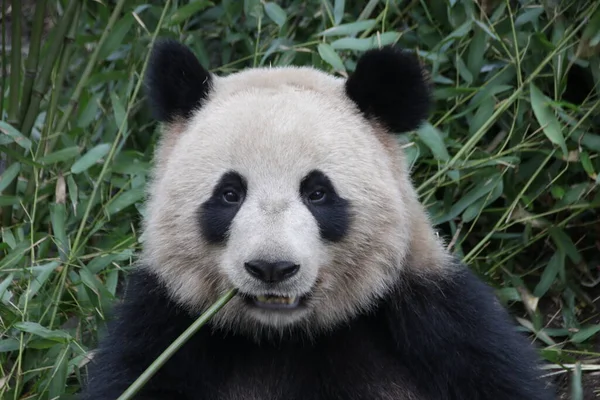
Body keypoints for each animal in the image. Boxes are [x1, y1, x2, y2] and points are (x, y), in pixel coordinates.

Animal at [82, 38, 556, 400]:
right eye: (230, 194)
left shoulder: (438, 322)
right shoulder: (164, 327)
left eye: (317, 193)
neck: (287, 336)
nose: (272, 268)